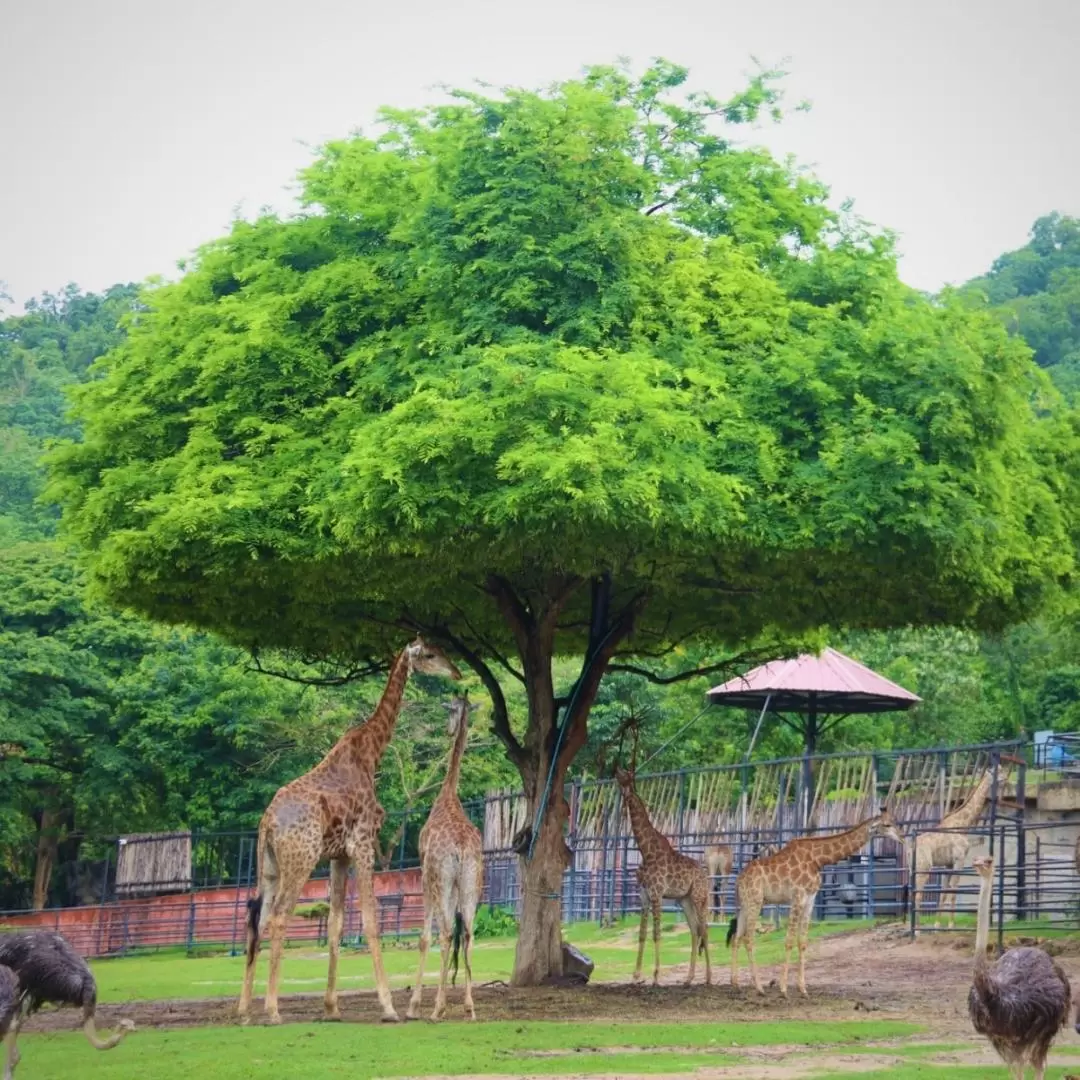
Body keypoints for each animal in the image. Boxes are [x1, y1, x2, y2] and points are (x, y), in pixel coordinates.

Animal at [238, 635, 462, 1023]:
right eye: (431, 655)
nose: (458, 672)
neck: (371, 751)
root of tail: (268, 823)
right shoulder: (363, 844)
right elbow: (370, 922)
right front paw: (388, 1007)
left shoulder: (338, 856)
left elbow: (336, 924)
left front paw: (331, 1008)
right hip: (300, 860)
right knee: (279, 916)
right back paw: (272, 1010)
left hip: (269, 865)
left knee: (257, 918)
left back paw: (245, 1011)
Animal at [617, 764, 708, 984]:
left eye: (626, 778)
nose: (615, 771)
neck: (646, 851)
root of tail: (706, 876)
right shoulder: (644, 896)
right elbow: (642, 934)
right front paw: (636, 975)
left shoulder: (657, 894)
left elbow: (656, 934)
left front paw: (656, 976)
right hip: (685, 900)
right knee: (695, 931)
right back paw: (688, 978)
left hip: (699, 897)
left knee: (705, 930)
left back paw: (709, 978)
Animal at [725, 812, 902, 993]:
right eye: (887, 825)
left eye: (894, 822)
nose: (901, 837)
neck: (818, 859)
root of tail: (739, 880)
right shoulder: (797, 896)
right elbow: (789, 940)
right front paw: (783, 989)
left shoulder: (810, 899)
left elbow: (802, 942)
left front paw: (803, 989)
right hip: (755, 901)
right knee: (748, 938)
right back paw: (759, 987)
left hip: (744, 905)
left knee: (736, 938)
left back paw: (735, 983)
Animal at [915, 764, 1006, 933]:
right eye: (998, 771)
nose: (1006, 779)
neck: (964, 824)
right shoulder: (959, 859)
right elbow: (954, 890)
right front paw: (951, 926)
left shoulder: (948, 863)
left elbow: (944, 892)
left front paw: (937, 926)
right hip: (924, 867)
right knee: (918, 894)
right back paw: (916, 929)